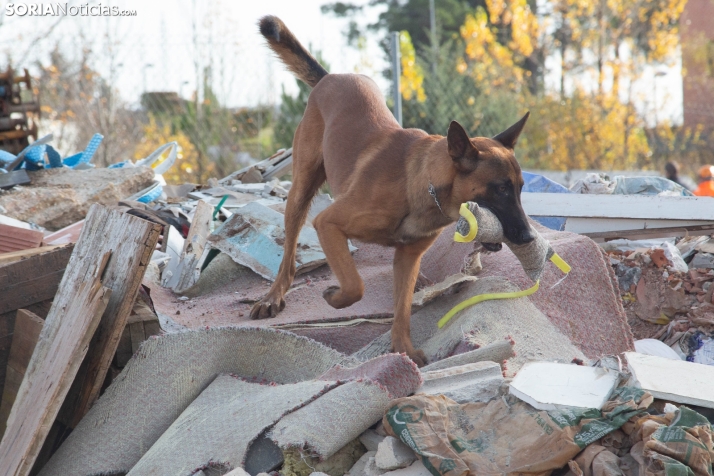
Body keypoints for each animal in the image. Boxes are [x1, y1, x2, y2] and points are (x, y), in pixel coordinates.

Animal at [252, 13, 536, 364]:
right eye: (499, 189)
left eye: (520, 188)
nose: (529, 237)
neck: (422, 183)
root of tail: (332, 77)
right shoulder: (328, 223)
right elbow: (355, 285)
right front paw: (335, 297)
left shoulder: (407, 257)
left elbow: (402, 308)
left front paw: (403, 351)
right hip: (300, 193)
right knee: (289, 255)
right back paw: (273, 296)